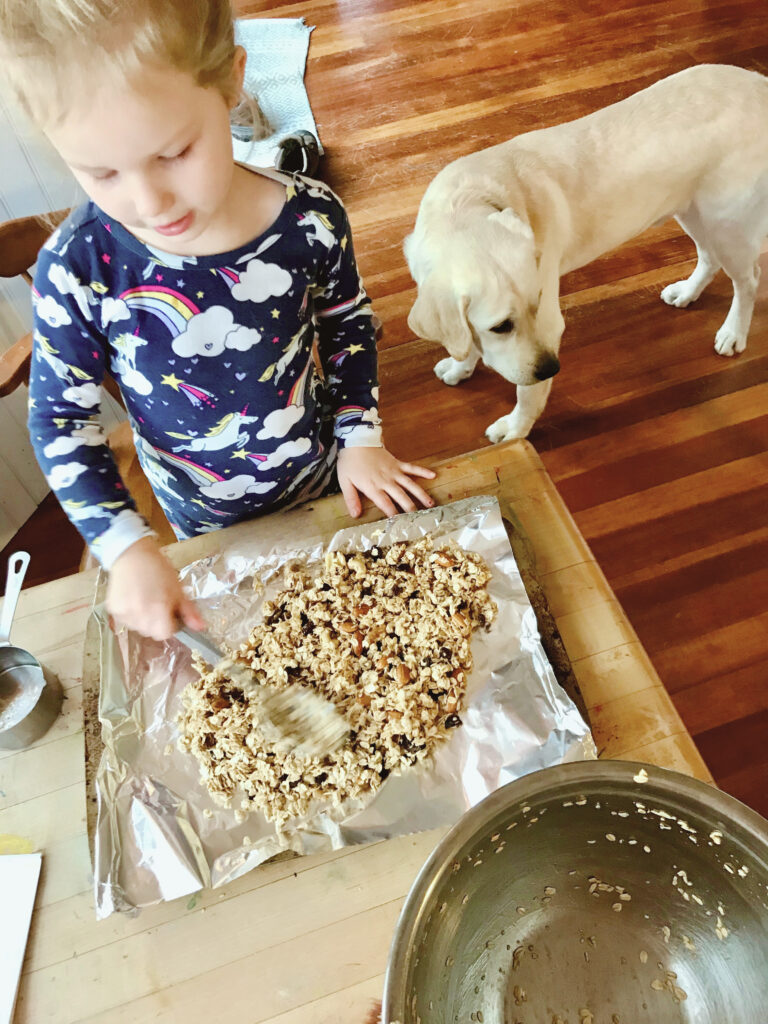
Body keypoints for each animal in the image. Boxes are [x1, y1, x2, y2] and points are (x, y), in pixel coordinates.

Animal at [405, 64, 765, 440]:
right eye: (501, 326)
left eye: (538, 304)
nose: (552, 369)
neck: (465, 206)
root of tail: (760, 83)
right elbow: (463, 340)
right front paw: (459, 366)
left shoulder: (550, 322)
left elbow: (527, 394)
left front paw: (515, 429)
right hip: (693, 211)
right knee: (709, 258)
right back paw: (687, 292)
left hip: (728, 223)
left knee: (749, 280)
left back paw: (733, 333)